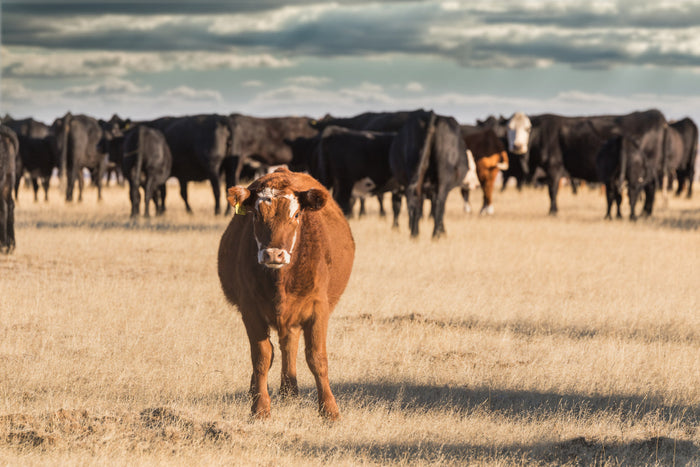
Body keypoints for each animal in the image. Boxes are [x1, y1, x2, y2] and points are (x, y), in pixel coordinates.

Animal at [218, 168, 354, 420]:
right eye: (255, 215)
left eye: (297, 214)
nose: (273, 254)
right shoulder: (250, 310)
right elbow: (261, 357)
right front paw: (260, 407)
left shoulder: (318, 308)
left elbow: (316, 357)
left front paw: (329, 410)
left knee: (289, 345)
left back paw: (290, 391)